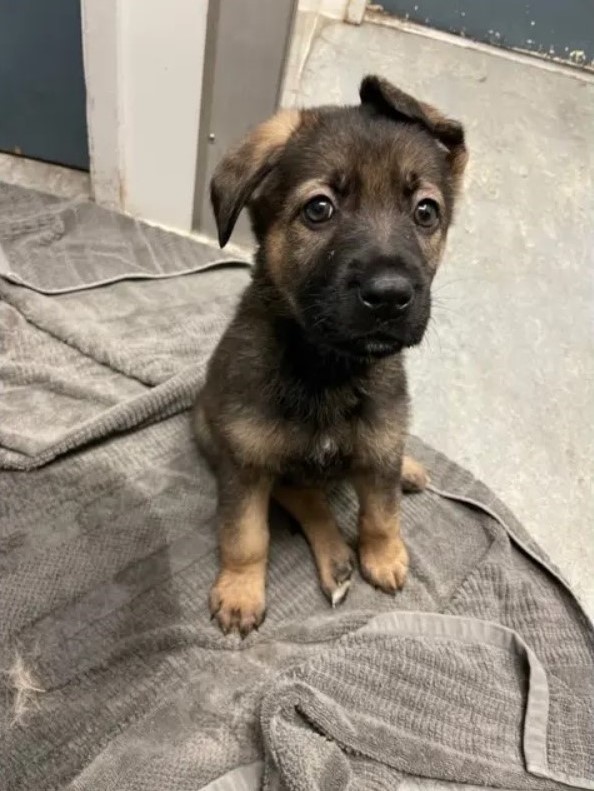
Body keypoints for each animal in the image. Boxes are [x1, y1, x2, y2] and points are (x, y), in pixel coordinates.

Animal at [194, 77, 468, 636]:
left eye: (425, 212)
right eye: (319, 208)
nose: (389, 297)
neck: (326, 369)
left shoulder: (379, 444)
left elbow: (381, 512)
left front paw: (384, 555)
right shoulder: (246, 465)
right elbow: (246, 535)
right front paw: (240, 590)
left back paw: (405, 473)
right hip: (211, 431)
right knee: (300, 493)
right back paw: (336, 558)